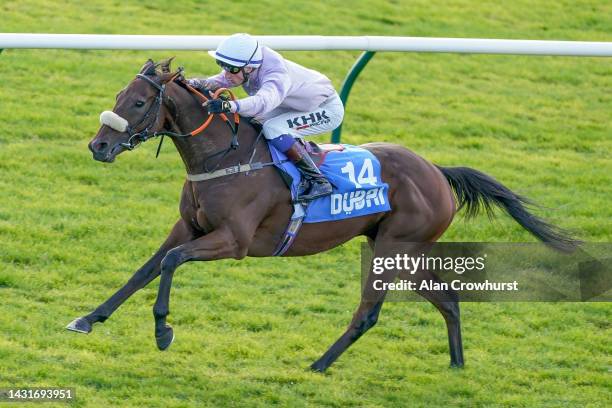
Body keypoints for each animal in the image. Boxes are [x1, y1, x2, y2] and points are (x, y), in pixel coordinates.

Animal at [67, 59, 580, 372]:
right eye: (119, 94)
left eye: (138, 102)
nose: (99, 146)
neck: (221, 157)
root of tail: (436, 171)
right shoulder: (188, 226)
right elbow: (145, 269)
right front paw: (88, 319)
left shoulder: (234, 242)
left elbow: (172, 264)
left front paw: (162, 331)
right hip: (401, 252)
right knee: (448, 299)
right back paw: (456, 365)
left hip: (392, 249)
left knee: (368, 313)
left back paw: (319, 364)